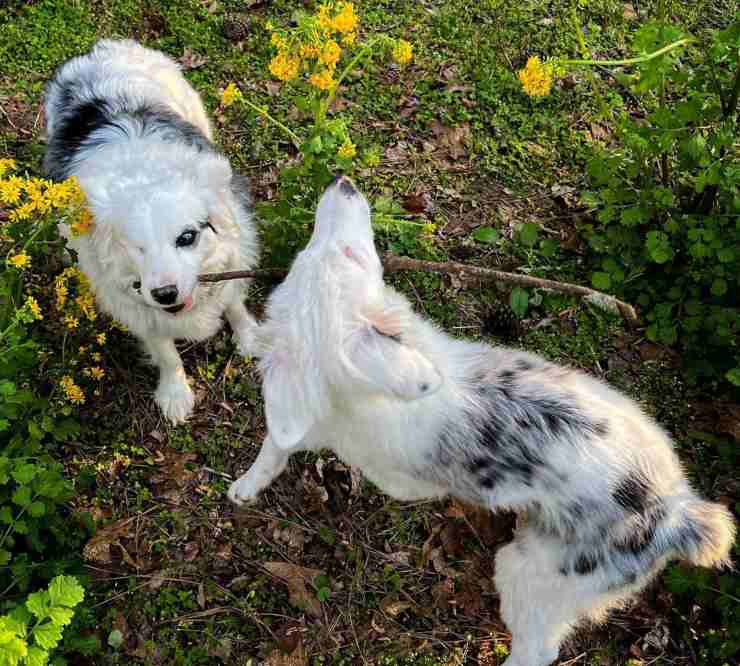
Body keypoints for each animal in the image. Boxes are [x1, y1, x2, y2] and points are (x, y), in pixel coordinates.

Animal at [44, 40, 260, 420]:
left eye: (187, 237)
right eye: (136, 247)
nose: (165, 293)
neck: (142, 173)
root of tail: (101, 48)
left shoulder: (236, 254)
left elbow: (235, 303)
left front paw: (250, 338)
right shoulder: (133, 305)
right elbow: (165, 352)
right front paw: (176, 394)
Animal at [228, 176, 736, 664]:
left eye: (345, 254)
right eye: (329, 254)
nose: (342, 182)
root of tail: (676, 514)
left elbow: (275, 443)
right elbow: (270, 418)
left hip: (530, 575)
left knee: (538, 651)